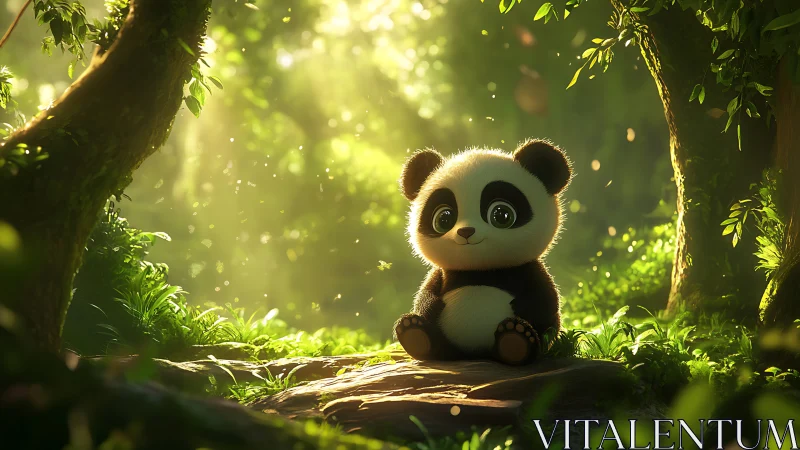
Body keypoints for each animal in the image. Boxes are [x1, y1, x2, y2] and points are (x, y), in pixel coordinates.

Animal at [393, 138, 572, 365]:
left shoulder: (528, 270)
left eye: (502, 215)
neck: (479, 270)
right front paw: (428, 309)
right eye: (444, 219)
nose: (466, 231)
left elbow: (545, 300)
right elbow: (426, 292)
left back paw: (515, 340)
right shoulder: (442, 273)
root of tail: (475, 353)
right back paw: (415, 334)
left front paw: (522, 312)